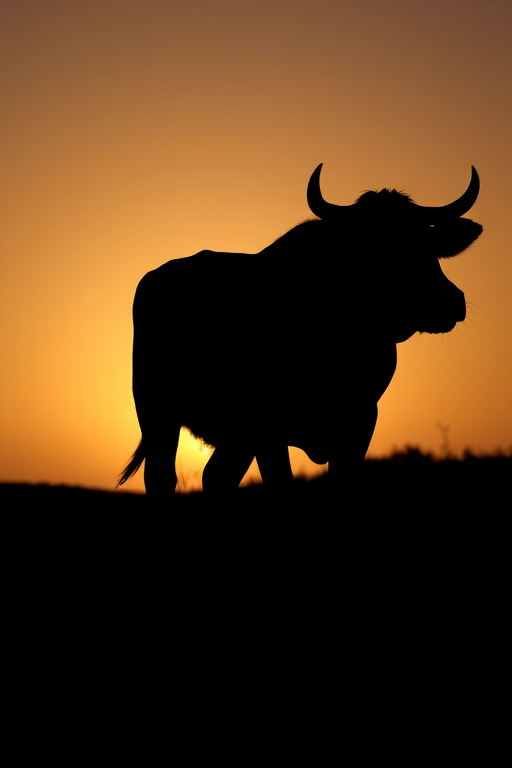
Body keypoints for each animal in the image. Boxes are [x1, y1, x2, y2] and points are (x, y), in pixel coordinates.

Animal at [117, 164, 482, 502]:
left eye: (427, 242)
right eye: (375, 249)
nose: (449, 301)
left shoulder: (361, 419)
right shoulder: (267, 428)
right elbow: (282, 484)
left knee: (216, 476)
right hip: (157, 412)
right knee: (163, 478)